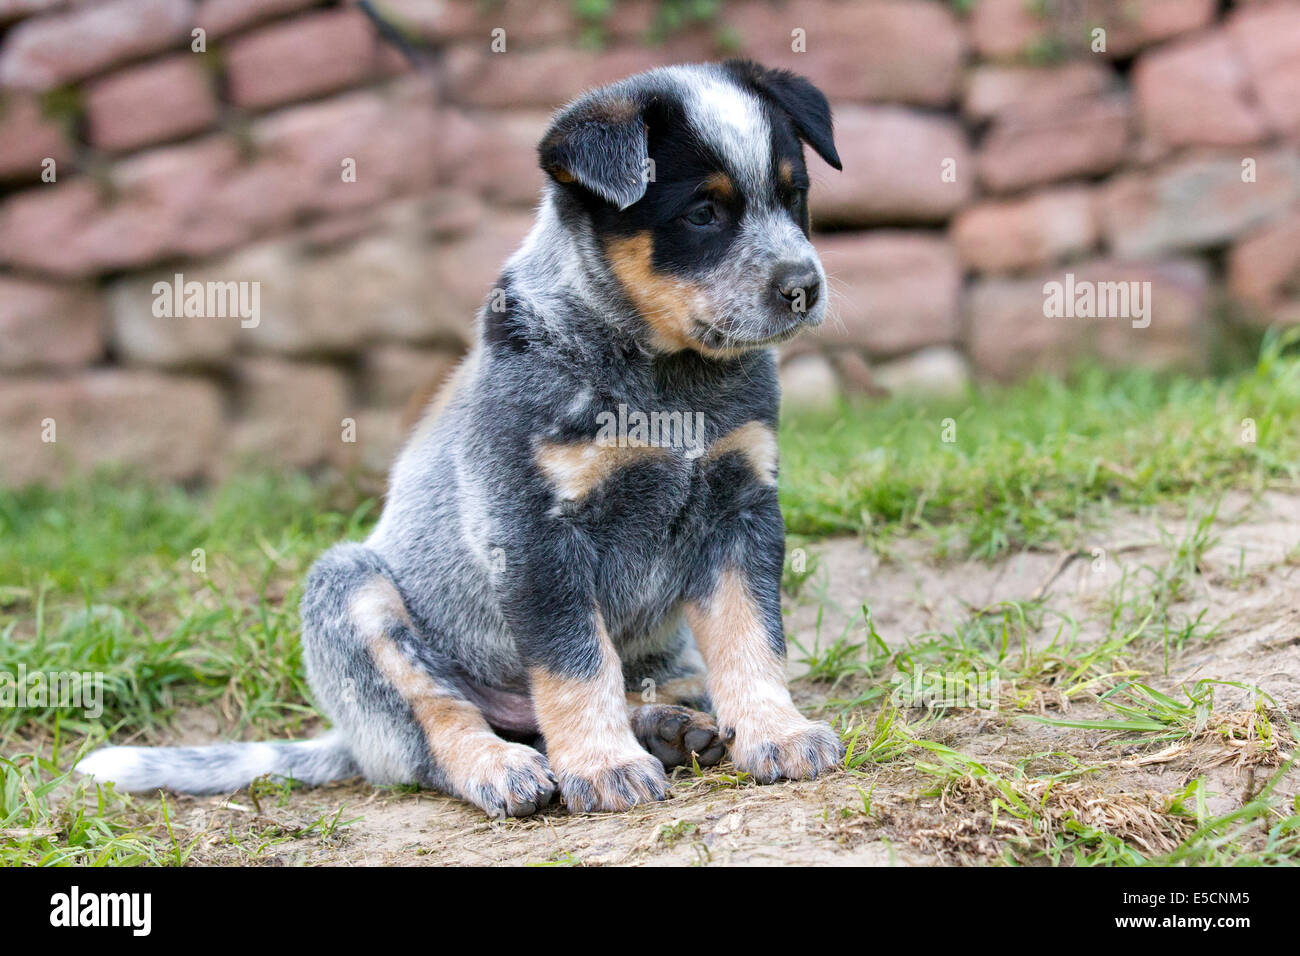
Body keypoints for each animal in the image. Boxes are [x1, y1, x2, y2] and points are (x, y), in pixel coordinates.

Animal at [83, 59, 852, 816]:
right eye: (702, 213)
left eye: (795, 196)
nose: (804, 287)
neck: (666, 380)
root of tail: (350, 743)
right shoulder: (533, 532)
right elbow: (576, 663)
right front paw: (602, 767)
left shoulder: (741, 504)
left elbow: (751, 636)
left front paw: (778, 732)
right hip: (352, 592)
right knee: (441, 726)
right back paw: (504, 767)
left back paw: (669, 724)